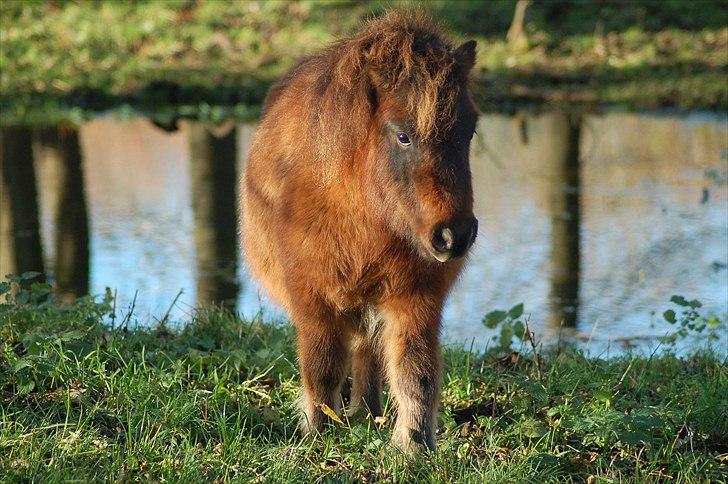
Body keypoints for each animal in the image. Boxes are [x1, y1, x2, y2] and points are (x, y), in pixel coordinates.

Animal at [239, 10, 478, 450]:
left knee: (369, 353)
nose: (454, 236)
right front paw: (317, 434)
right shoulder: (313, 298)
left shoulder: (416, 299)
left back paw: (368, 412)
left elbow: (415, 372)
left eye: (468, 130)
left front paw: (414, 446)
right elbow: (322, 368)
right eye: (402, 135)